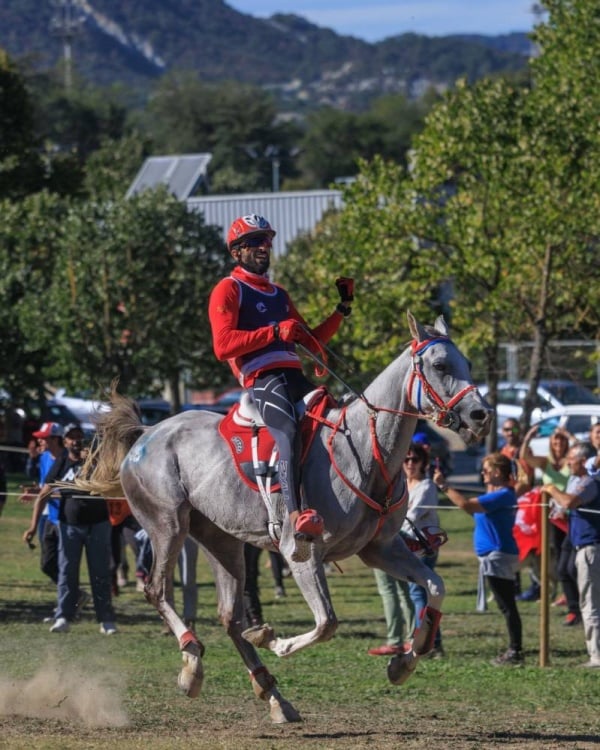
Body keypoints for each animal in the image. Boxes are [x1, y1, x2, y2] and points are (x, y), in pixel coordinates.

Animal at [81, 312, 492, 724]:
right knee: (158, 590)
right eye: (440, 366)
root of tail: (149, 432)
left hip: (221, 541)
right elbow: (326, 623)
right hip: (168, 526)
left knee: (229, 617)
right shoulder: (303, 555)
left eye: (469, 364)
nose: (481, 415)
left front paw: (407, 658)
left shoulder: (381, 550)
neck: (362, 449)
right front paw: (274, 641)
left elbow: (435, 586)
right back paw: (193, 664)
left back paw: (273, 694)